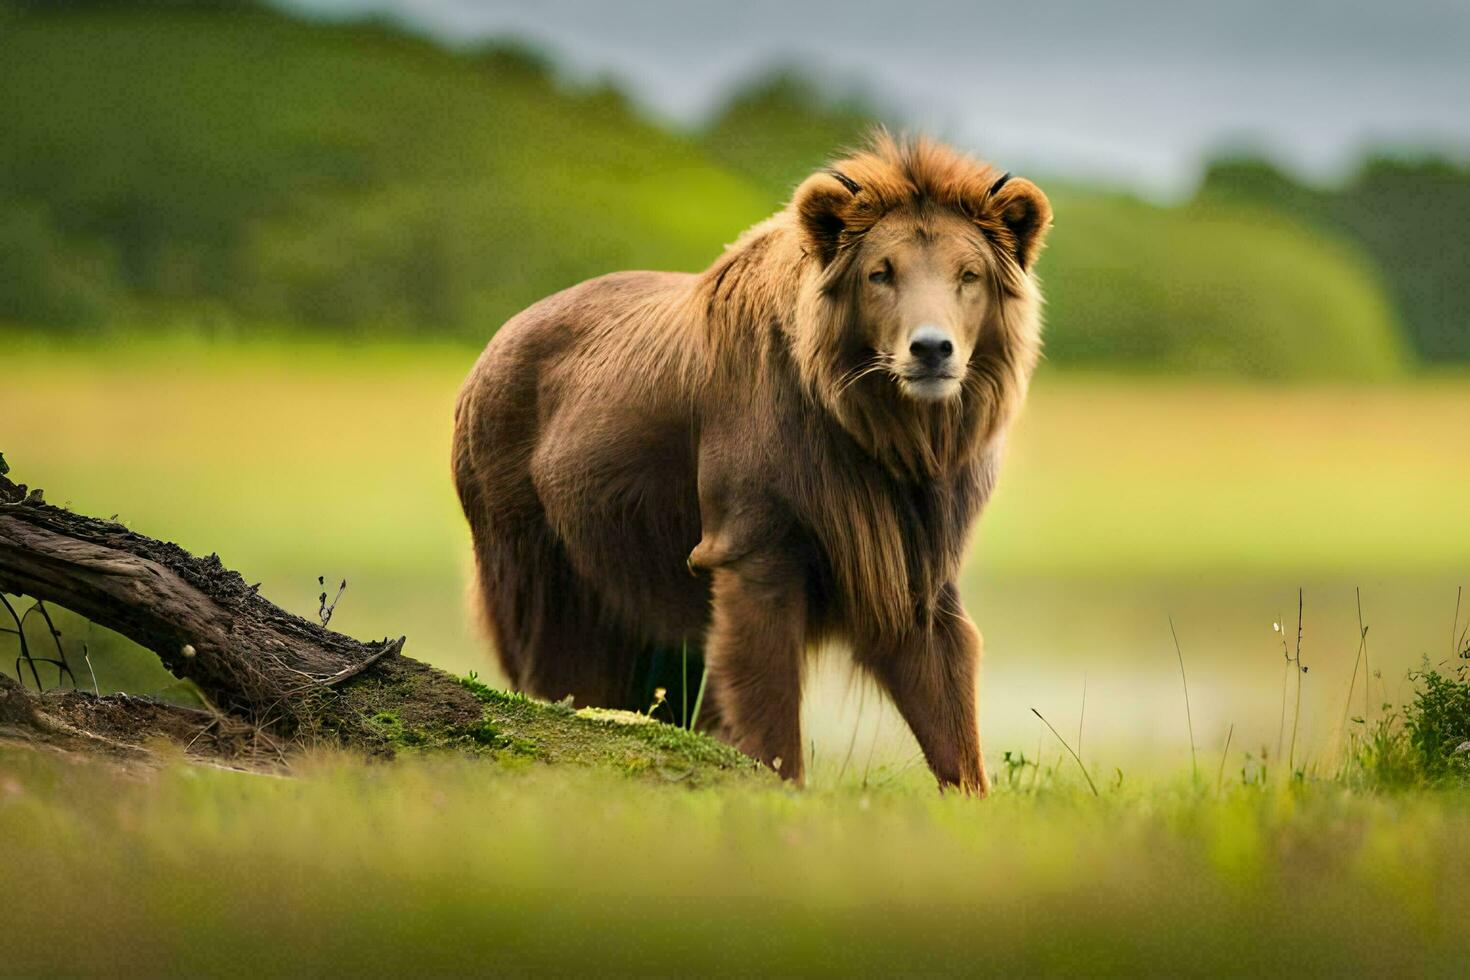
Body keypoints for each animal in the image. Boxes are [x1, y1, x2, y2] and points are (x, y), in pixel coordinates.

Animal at [452, 134, 1052, 793]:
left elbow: (940, 674)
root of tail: (495, 342)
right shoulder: (761, 516)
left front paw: (968, 786)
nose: (931, 349)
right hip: (537, 520)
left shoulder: (911, 529)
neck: (881, 431)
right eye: (880, 271)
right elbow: (760, 669)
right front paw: (777, 776)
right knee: (553, 639)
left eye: (968, 273)